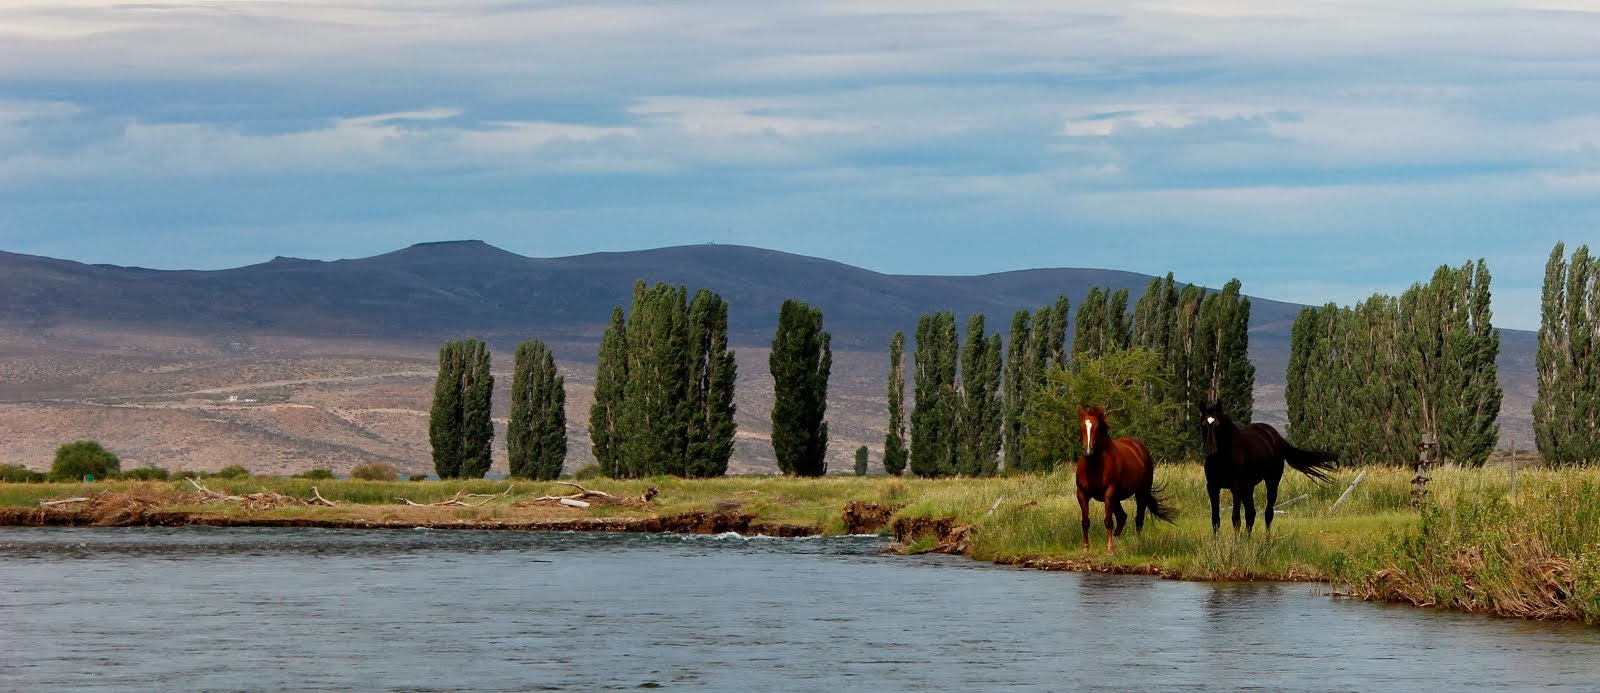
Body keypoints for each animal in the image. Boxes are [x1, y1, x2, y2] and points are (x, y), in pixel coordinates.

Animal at [1075, 404, 1177, 550]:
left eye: (1097, 427)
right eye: (1081, 425)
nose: (1088, 450)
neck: (1094, 465)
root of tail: (1139, 447)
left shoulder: (1109, 493)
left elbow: (1108, 521)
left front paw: (1109, 548)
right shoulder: (1082, 494)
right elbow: (1085, 521)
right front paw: (1085, 547)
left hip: (1141, 493)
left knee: (1138, 518)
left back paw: (1137, 542)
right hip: (1117, 498)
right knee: (1122, 517)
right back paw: (1116, 541)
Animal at [1203, 400, 1337, 534]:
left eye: (1218, 426)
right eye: (1202, 425)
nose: (1210, 449)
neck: (1224, 458)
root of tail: (1275, 436)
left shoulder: (1236, 488)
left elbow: (1236, 519)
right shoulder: (1212, 487)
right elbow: (1215, 519)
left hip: (1271, 481)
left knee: (1268, 514)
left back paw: (1267, 539)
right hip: (1249, 487)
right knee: (1251, 514)